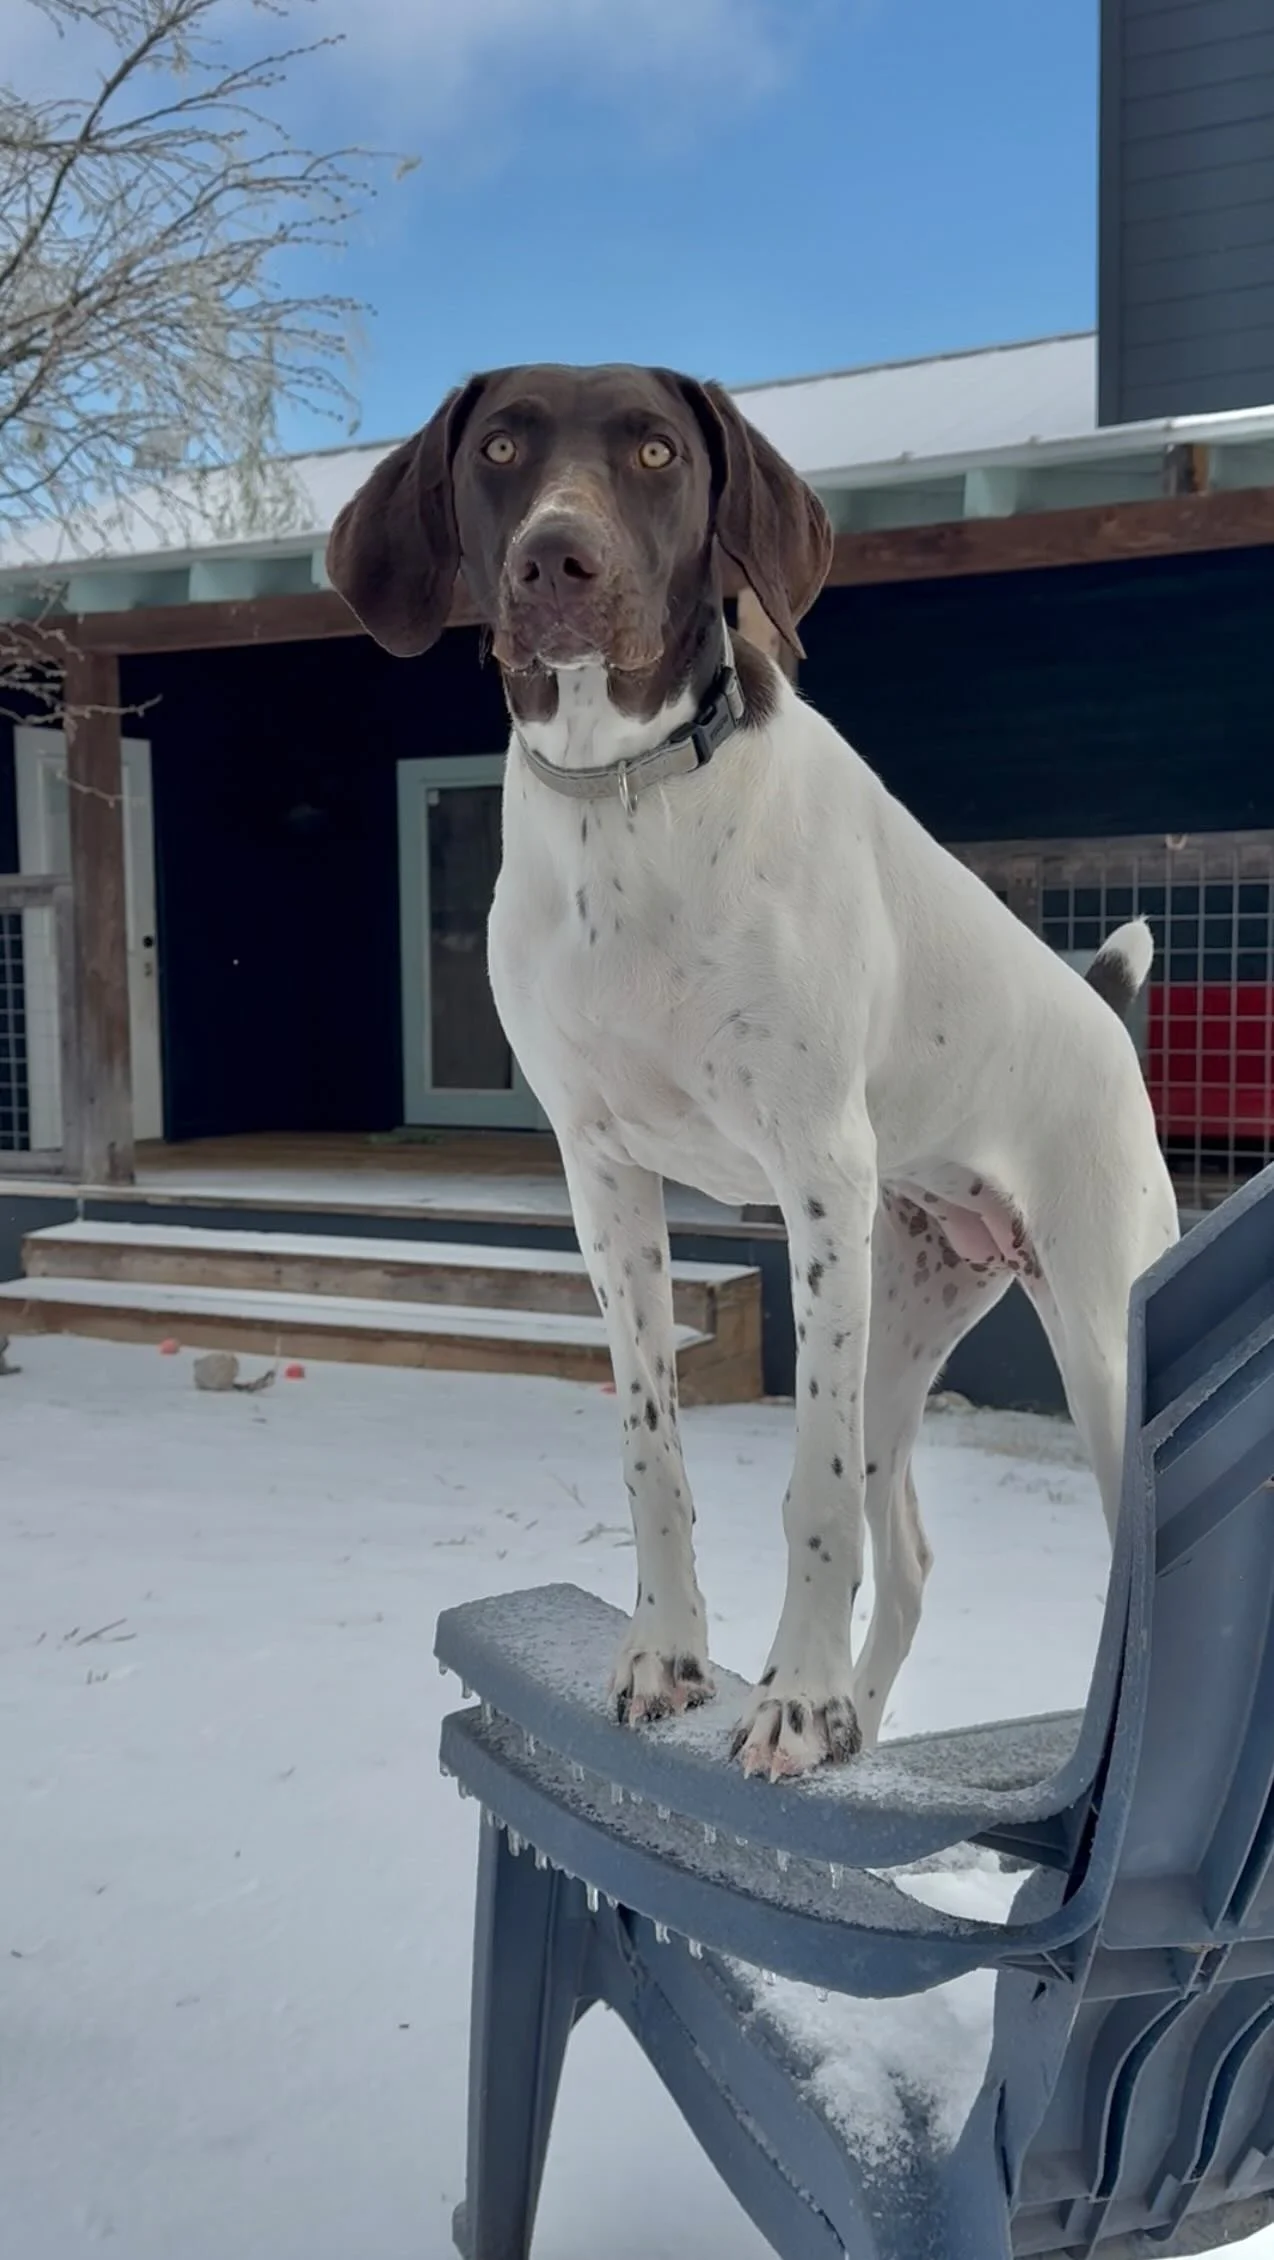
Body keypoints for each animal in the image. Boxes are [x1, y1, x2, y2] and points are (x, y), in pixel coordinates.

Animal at [328, 363, 1179, 1780]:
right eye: (499, 447)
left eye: (656, 453)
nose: (555, 559)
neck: (626, 801)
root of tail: (1101, 1011)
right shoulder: (603, 1181)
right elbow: (653, 1454)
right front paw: (668, 1656)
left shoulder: (815, 1174)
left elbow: (808, 1492)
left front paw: (792, 1693)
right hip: (902, 1311)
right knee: (910, 1555)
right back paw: (864, 1725)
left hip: (1094, 1338)